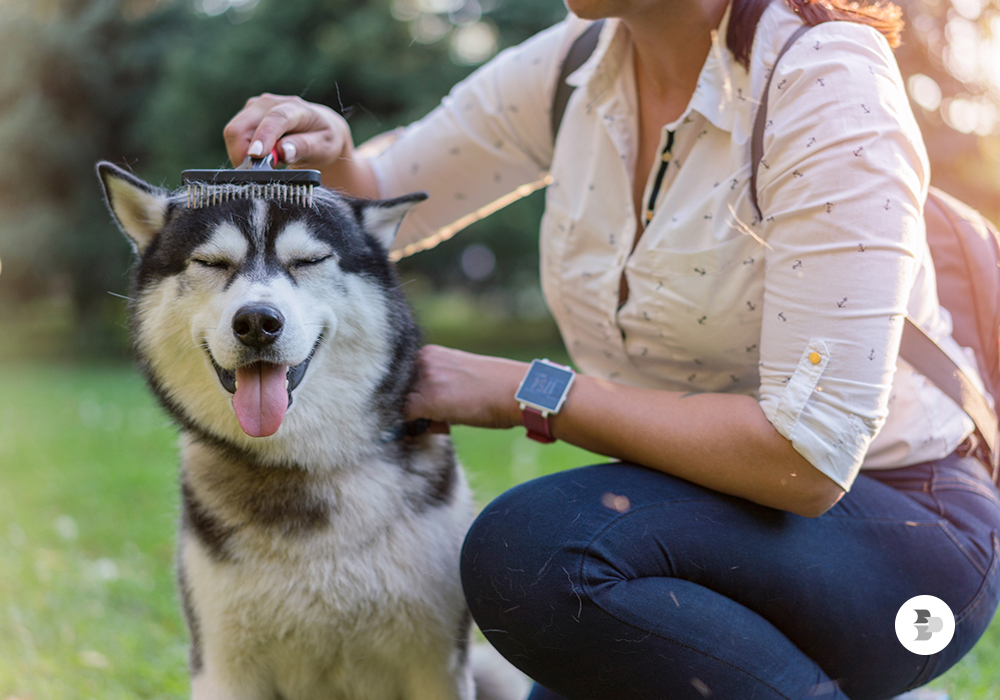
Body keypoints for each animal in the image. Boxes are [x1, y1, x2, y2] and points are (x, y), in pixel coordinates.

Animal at [97, 163, 528, 700]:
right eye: (212, 262)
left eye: (309, 260)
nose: (257, 321)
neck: (304, 464)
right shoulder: (223, 666)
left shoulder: (438, 663)